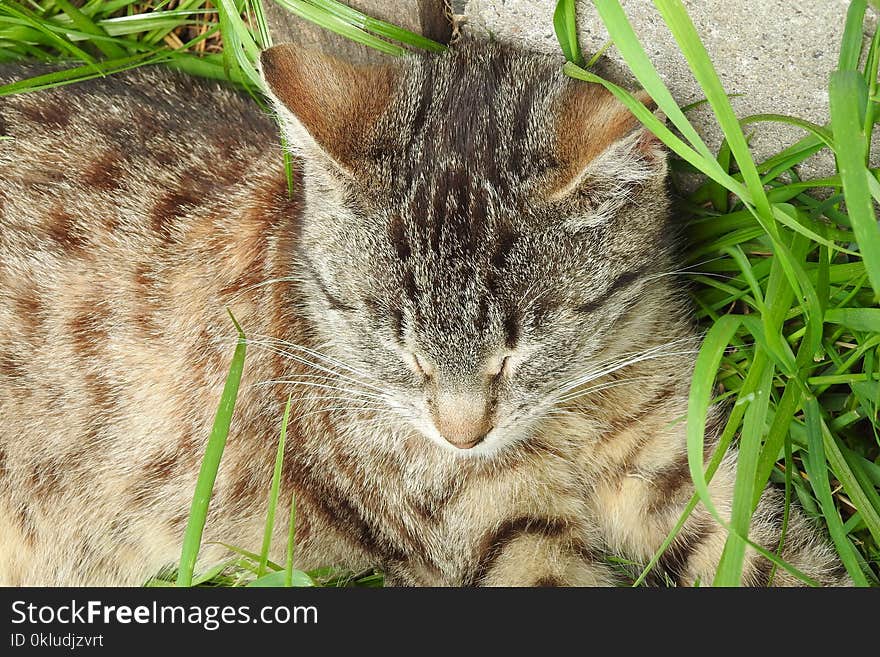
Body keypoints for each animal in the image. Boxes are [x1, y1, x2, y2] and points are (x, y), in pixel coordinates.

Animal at [0, 39, 852, 584]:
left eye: (519, 349)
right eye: (400, 347)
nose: (461, 435)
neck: (571, 418)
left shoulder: (677, 461)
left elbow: (777, 559)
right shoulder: (496, 538)